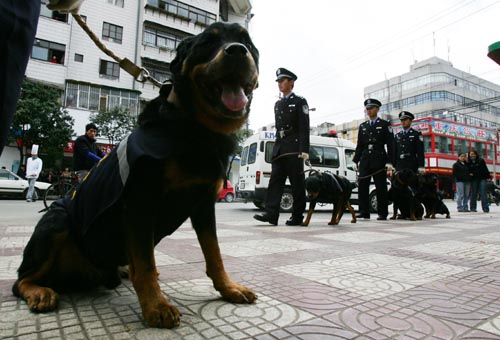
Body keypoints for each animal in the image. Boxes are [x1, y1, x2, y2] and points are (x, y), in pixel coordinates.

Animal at [13, 22, 260, 328]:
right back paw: (39, 291)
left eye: (247, 42)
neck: (194, 129)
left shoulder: (203, 205)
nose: (237, 51)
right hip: (56, 222)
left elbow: (214, 254)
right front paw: (155, 306)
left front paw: (229, 288)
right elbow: (145, 265)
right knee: (21, 279)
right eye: (207, 43)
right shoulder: (140, 202)